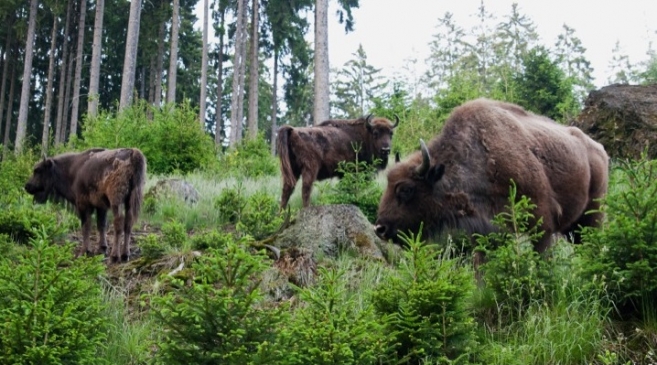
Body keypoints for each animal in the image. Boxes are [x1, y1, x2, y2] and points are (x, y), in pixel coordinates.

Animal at [372, 97, 608, 253]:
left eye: (406, 189)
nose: (380, 229)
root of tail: (599, 150)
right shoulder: (485, 232)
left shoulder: (542, 225)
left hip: (593, 216)